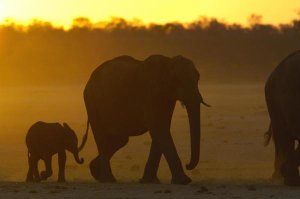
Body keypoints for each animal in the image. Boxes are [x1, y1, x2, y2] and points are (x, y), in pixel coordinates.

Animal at [83, 54, 210, 185]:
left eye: (198, 78)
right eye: (177, 80)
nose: (187, 165)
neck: (167, 63)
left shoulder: (167, 98)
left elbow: (162, 128)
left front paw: (150, 181)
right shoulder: (150, 93)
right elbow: (159, 129)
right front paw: (183, 181)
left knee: (121, 140)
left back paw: (95, 172)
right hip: (92, 103)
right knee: (103, 137)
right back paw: (108, 180)